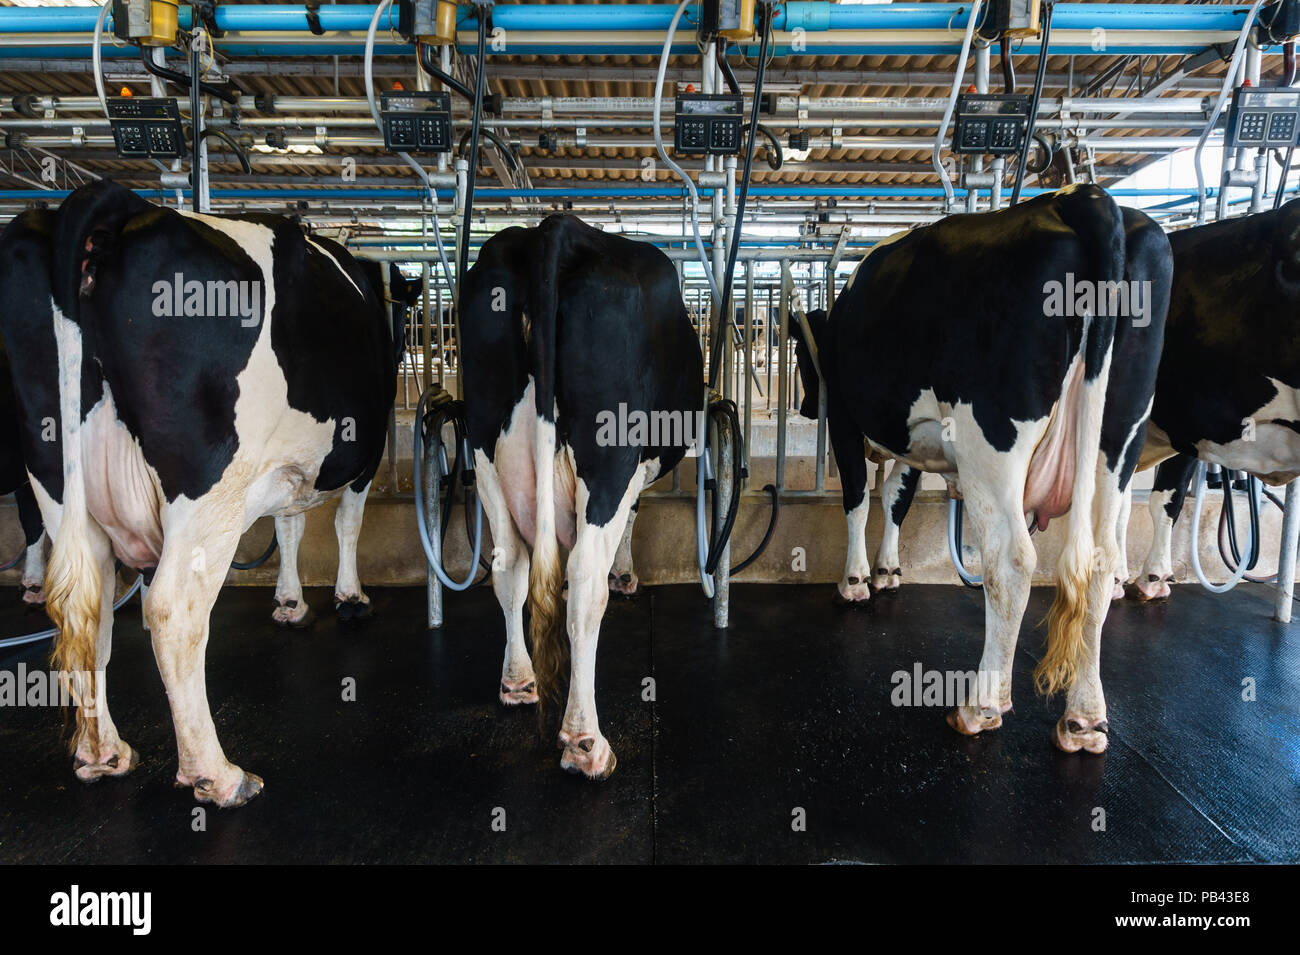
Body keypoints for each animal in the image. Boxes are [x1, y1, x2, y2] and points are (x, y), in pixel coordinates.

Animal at [0, 180, 400, 805]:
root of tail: (114, 203)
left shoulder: (282, 464)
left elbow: (289, 523)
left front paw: (290, 602)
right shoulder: (365, 445)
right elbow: (344, 523)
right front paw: (350, 598)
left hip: (56, 477)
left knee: (84, 604)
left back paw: (102, 752)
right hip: (207, 485)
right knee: (172, 609)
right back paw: (217, 774)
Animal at [457, 214, 702, 779]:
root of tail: (556, 229)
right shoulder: (632, 470)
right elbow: (629, 518)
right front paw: (626, 575)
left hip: (482, 443)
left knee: (510, 564)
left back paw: (518, 681)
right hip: (609, 455)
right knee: (587, 581)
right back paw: (584, 741)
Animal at [785, 187, 1175, 753]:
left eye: (798, 355)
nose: (805, 407)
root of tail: (1079, 197)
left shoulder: (846, 421)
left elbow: (858, 499)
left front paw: (855, 580)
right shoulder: (915, 437)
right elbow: (895, 499)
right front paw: (888, 571)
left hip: (991, 442)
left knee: (1011, 563)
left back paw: (981, 705)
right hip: (1119, 440)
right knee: (1101, 564)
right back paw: (1084, 718)